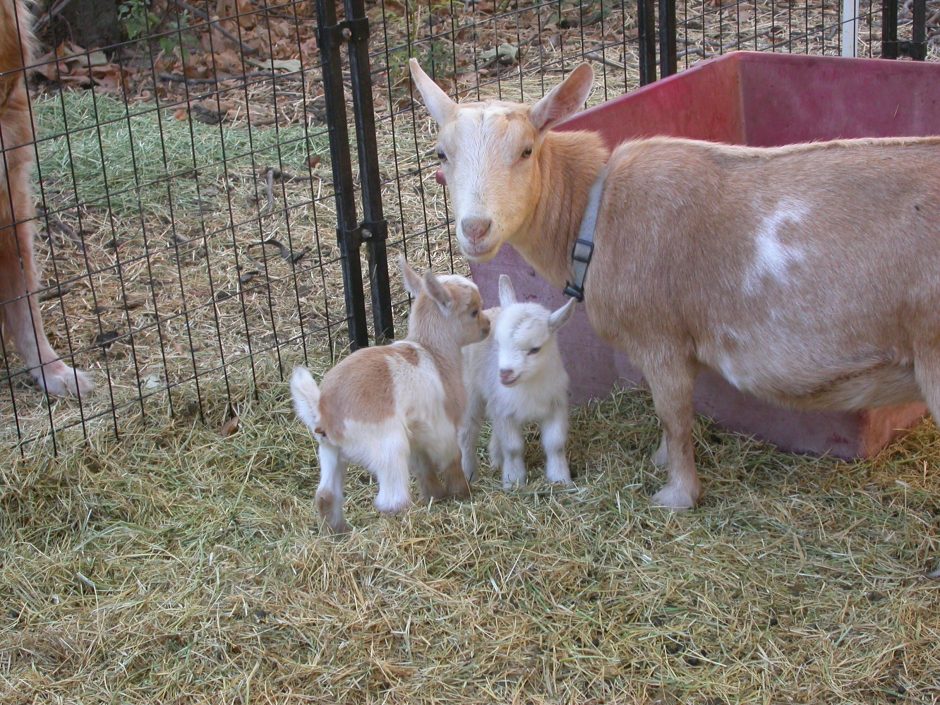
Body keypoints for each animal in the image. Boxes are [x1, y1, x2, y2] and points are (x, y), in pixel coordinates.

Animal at [290, 257, 490, 532]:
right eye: (473, 311)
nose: (488, 326)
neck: (433, 352)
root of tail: (324, 412)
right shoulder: (443, 427)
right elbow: (452, 460)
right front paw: (463, 493)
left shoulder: (418, 434)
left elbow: (424, 468)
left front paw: (436, 495)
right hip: (389, 446)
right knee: (391, 500)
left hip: (330, 452)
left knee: (325, 495)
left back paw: (339, 532)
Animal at [460, 274, 575, 489]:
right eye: (498, 343)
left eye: (535, 349)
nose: (505, 373)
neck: (529, 387)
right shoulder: (504, 412)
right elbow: (513, 448)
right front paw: (513, 481)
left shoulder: (555, 406)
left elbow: (555, 444)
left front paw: (560, 478)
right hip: (468, 394)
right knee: (467, 434)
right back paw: (469, 475)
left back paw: (496, 459)